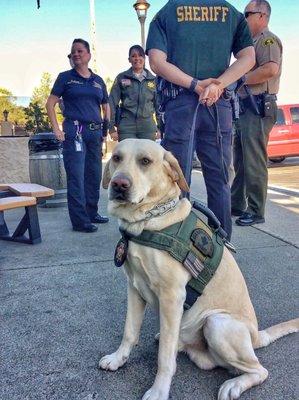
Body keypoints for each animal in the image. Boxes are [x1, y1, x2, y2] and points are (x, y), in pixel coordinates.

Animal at [99, 138, 298, 400]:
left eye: (145, 161)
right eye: (117, 158)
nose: (119, 184)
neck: (146, 223)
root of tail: (256, 336)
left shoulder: (172, 296)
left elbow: (164, 358)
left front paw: (159, 390)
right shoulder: (134, 289)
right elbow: (129, 332)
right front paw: (117, 359)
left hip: (216, 323)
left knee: (259, 370)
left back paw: (234, 385)